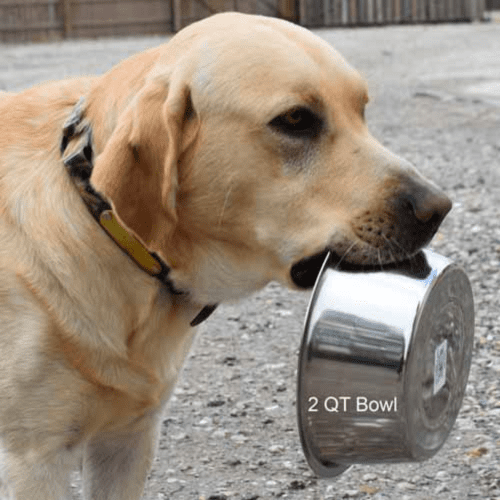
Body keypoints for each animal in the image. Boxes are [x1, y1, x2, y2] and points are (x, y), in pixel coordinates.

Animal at [0, 10, 452, 500]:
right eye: (296, 119)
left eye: (362, 110)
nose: (437, 209)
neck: (105, 227)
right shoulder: (35, 460)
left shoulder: (128, 441)